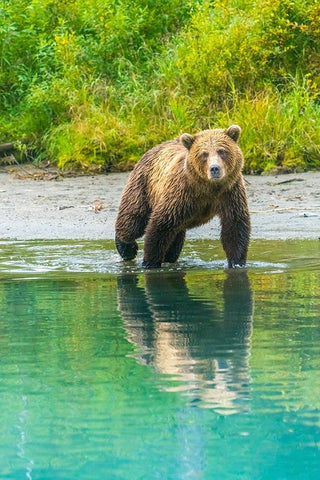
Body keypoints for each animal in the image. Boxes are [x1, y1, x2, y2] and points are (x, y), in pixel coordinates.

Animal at [114, 125, 250, 268]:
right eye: (204, 154)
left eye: (222, 151)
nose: (214, 168)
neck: (209, 188)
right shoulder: (181, 193)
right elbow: (160, 225)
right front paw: (149, 263)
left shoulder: (230, 193)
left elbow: (235, 226)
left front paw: (237, 263)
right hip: (144, 185)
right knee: (134, 218)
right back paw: (127, 248)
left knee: (175, 237)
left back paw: (169, 256)